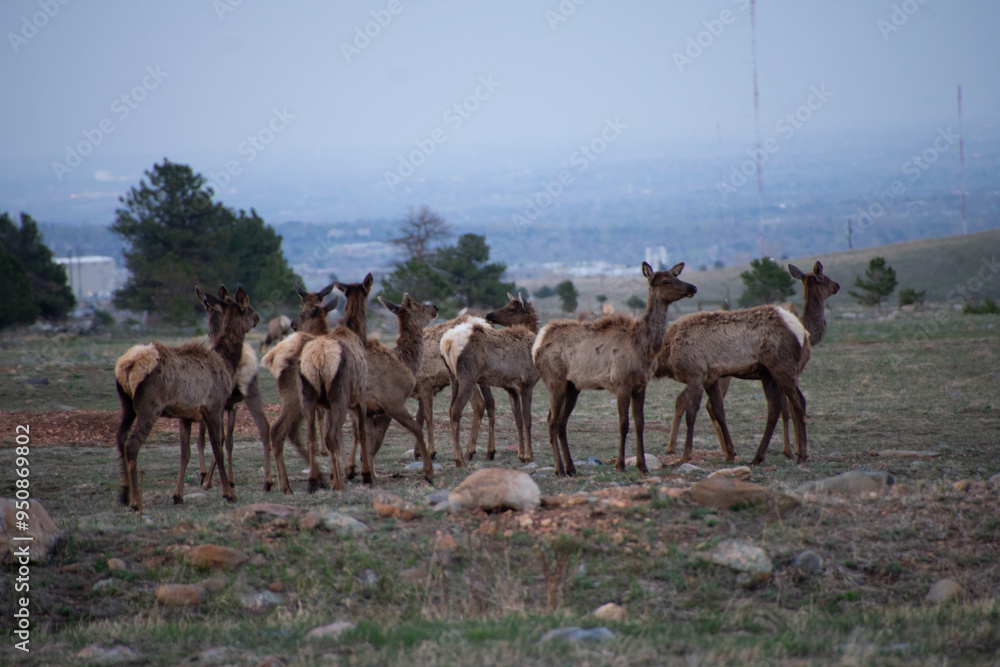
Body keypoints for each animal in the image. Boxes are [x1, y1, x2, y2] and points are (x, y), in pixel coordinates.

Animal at [113, 286, 258, 510]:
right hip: (149, 407)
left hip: (127, 405)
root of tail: (127, 366)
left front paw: (178, 495)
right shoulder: (214, 407)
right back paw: (136, 500)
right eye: (248, 308)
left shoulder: (186, 416)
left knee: (120, 438)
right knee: (132, 444)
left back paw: (124, 493)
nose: (258, 317)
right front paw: (228, 493)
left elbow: (185, 454)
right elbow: (217, 448)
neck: (227, 362)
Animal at [439, 292, 541, 467]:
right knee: (457, 410)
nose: (488, 315)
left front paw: (521, 454)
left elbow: (518, 419)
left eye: (511, 308)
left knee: (452, 408)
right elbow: (527, 419)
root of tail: (446, 343)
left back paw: (458, 456)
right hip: (467, 377)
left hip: (453, 378)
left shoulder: (512, 388)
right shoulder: (526, 384)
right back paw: (460, 459)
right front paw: (529, 455)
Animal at [532, 262, 697, 476]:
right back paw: (559, 469)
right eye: (666, 281)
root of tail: (536, 345)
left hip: (572, 387)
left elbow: (640, 424)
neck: (645, 349)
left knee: (561, 423)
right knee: (551, 421)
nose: (692, 287)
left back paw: (571, 468)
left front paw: (643, 466)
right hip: (555, 382)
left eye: (676, 276)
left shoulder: (641, 386)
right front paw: (620, 465)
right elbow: (623, 424)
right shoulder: (621, 383)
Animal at [661, 261, 839, 463]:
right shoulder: (791, 372)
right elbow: (788, 410)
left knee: (684, 400)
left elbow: (783, 409)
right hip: (747, 373)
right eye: (825, 278)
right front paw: (790, 450)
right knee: (796, 402)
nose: (837, 286)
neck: (809, 329)